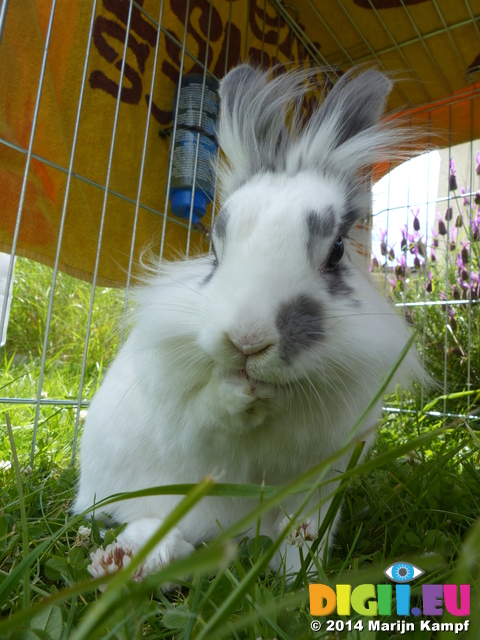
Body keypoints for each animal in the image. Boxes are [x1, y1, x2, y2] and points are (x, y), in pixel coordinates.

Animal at [73, 65, 422, 584]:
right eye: (215, 250)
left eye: (337, 250)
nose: (248, 341)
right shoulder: (181, 406)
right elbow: (205, 411)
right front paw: (236, 391)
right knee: (153, 524)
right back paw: (123, 561)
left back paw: (300, 574)